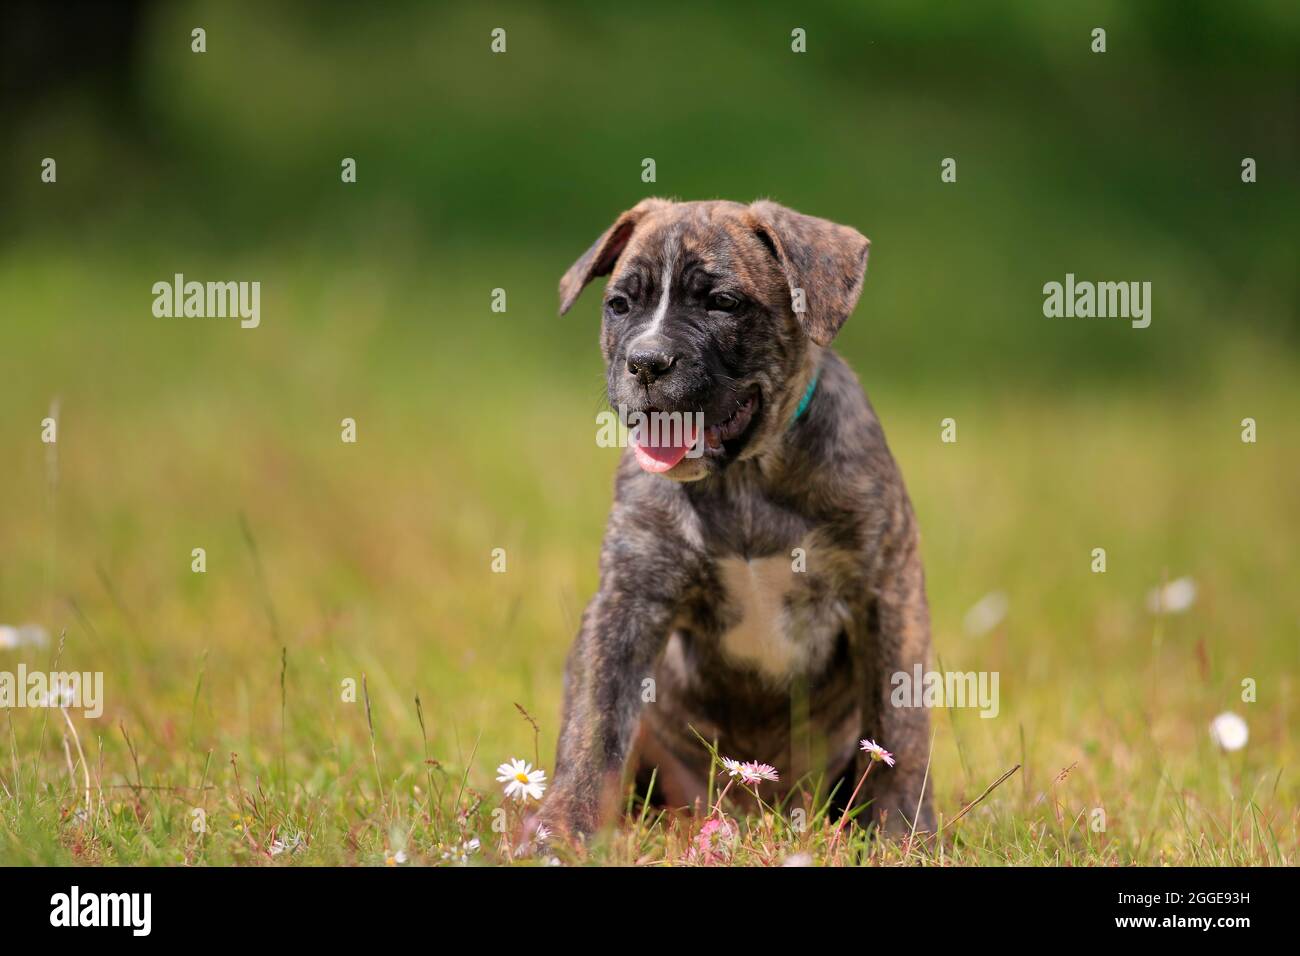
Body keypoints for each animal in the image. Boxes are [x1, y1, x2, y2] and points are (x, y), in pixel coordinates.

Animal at [540, 197, 935, 842]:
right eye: (619, 305)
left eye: (723, 303)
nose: (645, 362)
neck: (744, 480)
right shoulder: (628, 600)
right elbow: (593, 722)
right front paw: (561, 829)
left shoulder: (887, 594)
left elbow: (899, 726)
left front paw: (902, 834)